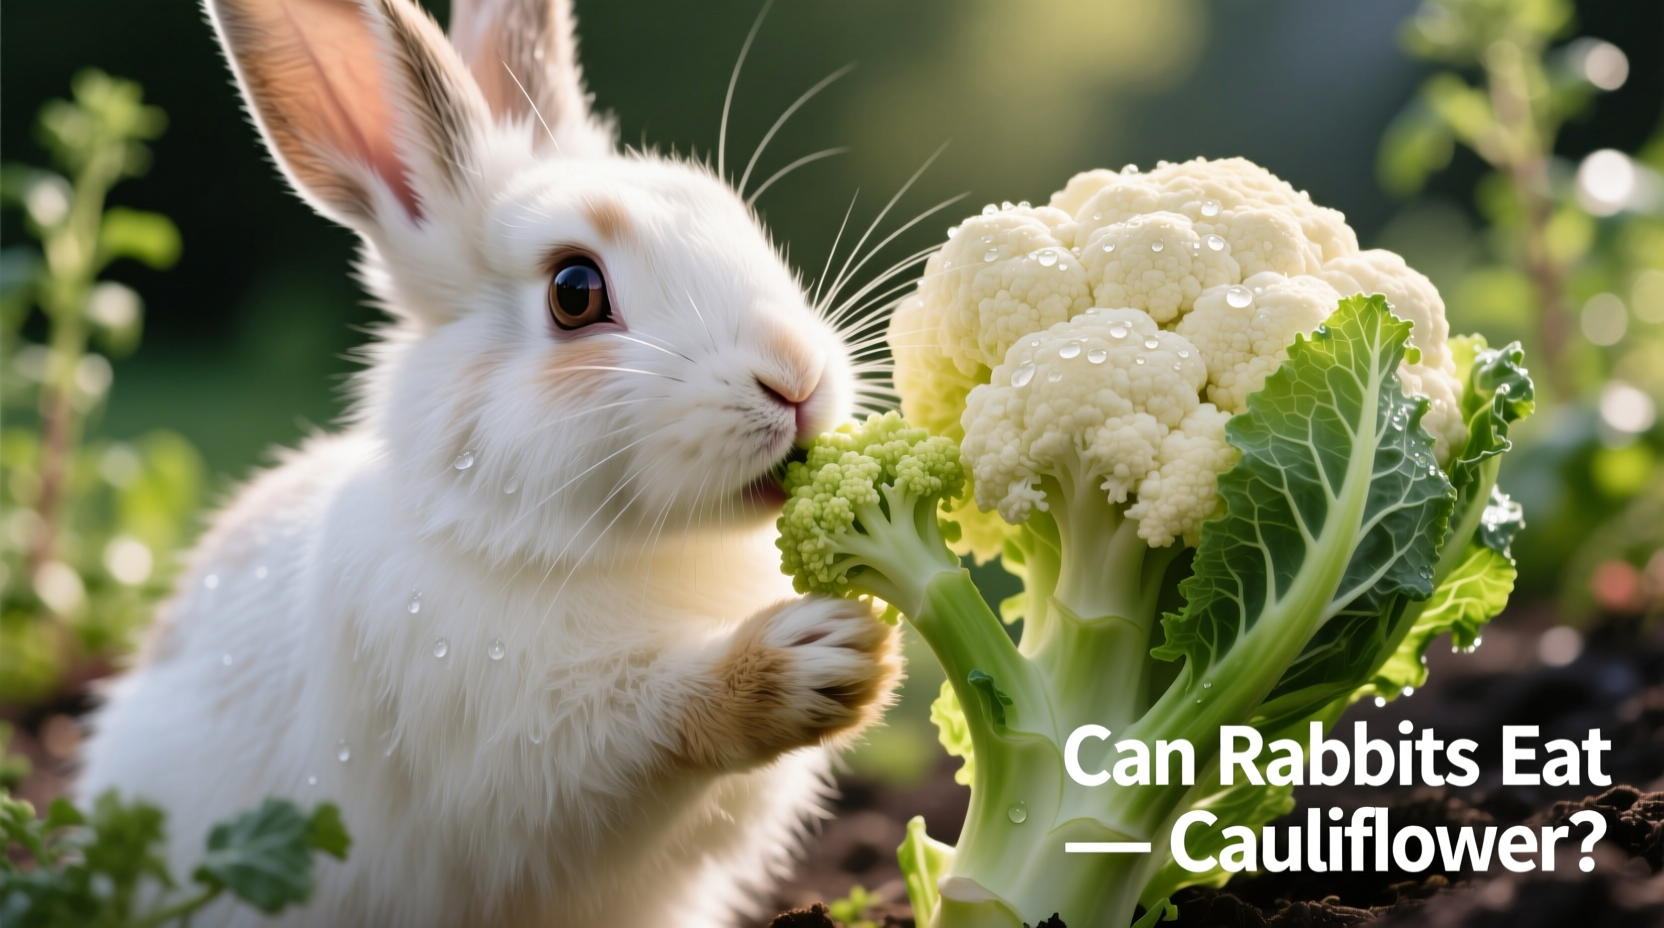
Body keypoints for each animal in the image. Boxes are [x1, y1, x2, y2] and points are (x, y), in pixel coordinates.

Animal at [75, 0, 903, 925]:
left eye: (730, 216)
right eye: (575, 292)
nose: (795, 378)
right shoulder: (522, 751)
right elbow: (649, 727)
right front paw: (825, 656)